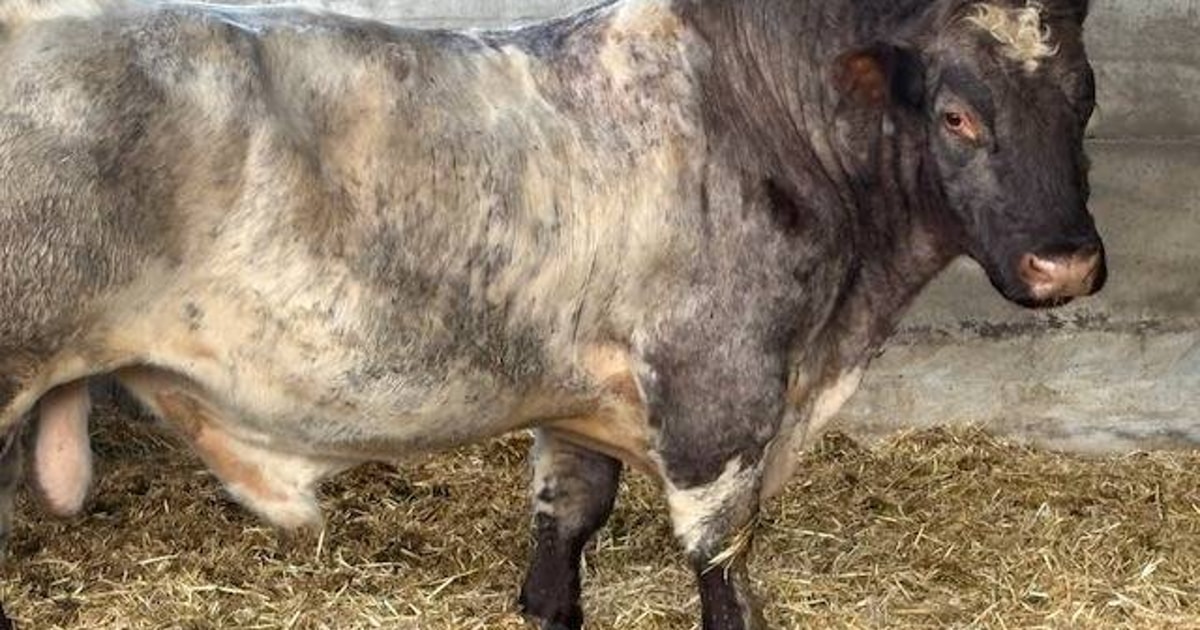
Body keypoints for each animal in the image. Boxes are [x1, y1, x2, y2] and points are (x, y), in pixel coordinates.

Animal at [0, 0, 1103, 627]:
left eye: (1084, 98)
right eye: (956, 114)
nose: (1068, 264)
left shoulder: (579, 400)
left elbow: (562, 529)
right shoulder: (720, 395)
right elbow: (722, 565)